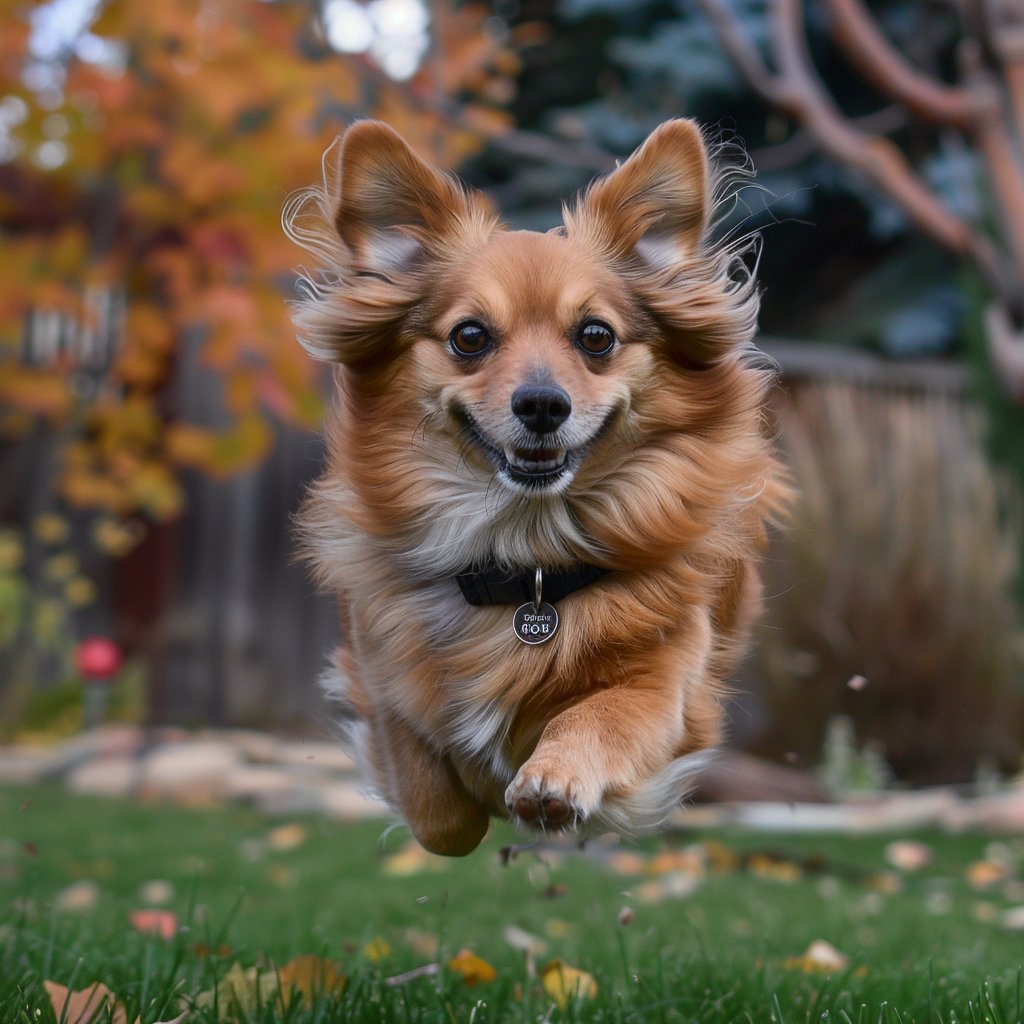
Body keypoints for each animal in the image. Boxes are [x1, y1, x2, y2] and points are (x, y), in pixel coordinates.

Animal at [286, 117, 782, 856]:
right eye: (469, 337)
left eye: (596, 336)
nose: (542, 404)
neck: (528, 556)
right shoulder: (380, 674)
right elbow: (438, 807)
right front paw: (475, 779)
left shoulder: (669, 686)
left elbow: (603, 714)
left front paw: (553, 778)